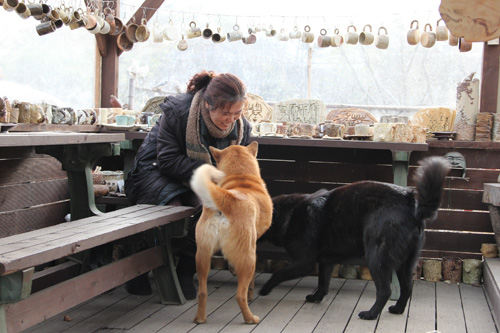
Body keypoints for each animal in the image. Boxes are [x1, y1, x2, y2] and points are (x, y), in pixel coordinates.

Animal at [260, 157, 452, 320]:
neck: (289, 214)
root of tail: (412, 206)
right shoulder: (326, 260)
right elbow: (323, 282)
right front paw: (317, 297)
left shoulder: (304, 262)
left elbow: (278, 273)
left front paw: (264, 289)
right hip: (404, 262)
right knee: (407, 287)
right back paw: (397, 309)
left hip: (377, 258)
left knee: (385, 291)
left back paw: (370, 314)